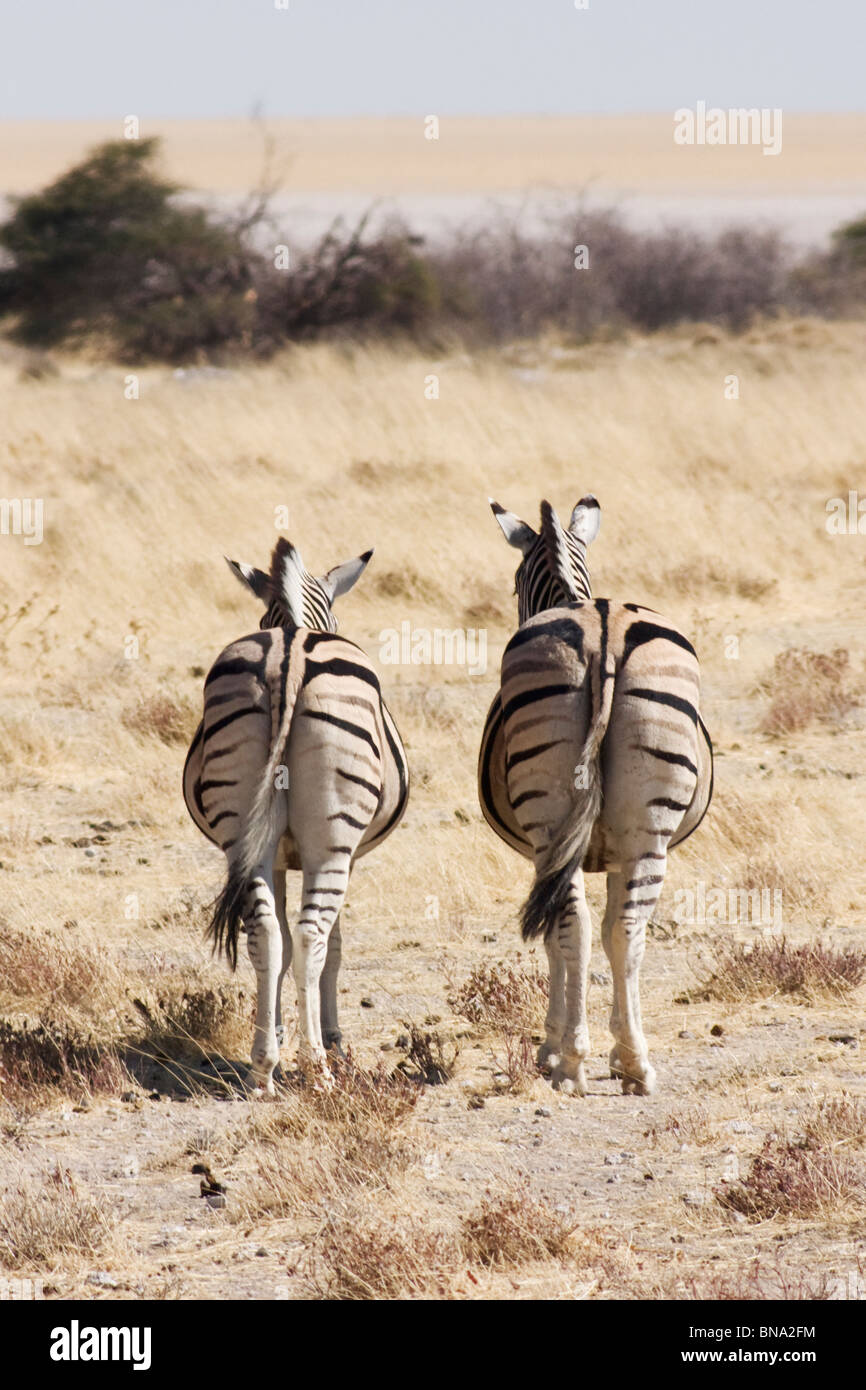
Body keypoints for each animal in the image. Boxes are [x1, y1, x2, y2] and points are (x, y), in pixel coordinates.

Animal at [183, 535, 409, 1092]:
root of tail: (286, 654)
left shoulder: (280, 855)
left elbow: (278, 946)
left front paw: (279, 1034)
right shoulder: (344, 856)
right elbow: (334, 946)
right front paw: (332, 1040)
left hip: (243, 836)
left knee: (265, 931)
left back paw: (263, 1067)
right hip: (333, 842)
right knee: (311, 935)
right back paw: (319, 1069)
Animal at [478, 496, 713, 1097]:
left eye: (513, 585)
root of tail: (603, 630)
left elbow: (556, 943)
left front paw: (549, 1045)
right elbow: (611, 933)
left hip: (552, 826)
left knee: (574, 926)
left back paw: (572, 1063)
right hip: (646, 829)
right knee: (624, 931)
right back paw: (634, 1063)